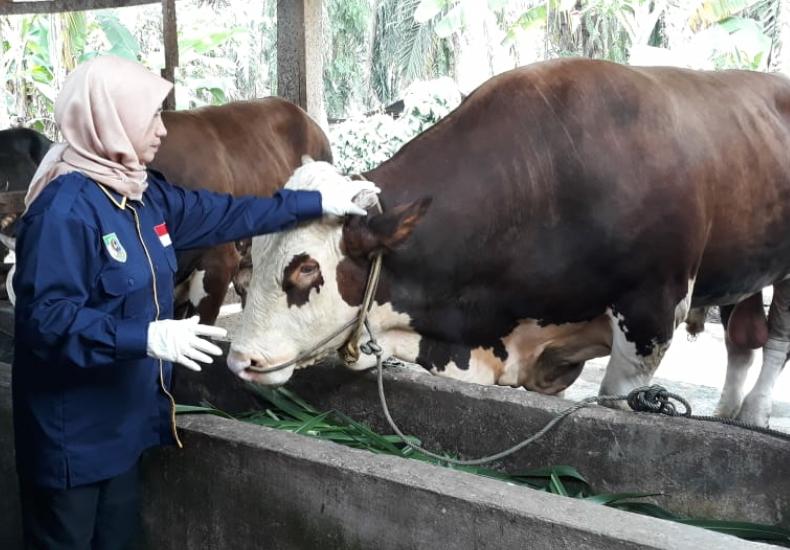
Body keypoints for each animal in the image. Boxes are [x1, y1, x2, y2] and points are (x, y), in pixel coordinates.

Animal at [224, 61, 790, 432]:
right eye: (254, 255)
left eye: (304, 269)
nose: (240, 359)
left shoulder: (650, 317)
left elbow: (616, 400)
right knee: (742, 337)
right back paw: (727, 414)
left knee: (774, 342)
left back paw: (756, 415)